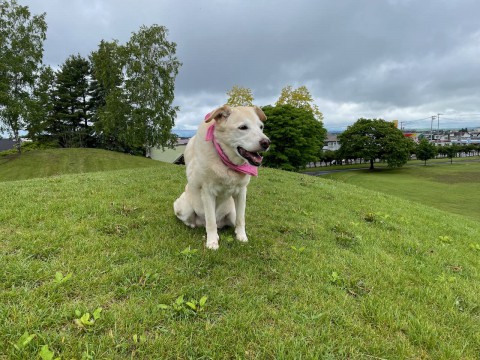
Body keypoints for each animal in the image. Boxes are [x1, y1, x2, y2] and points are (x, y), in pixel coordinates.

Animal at [172, 105, 270, 248]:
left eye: (261, 127)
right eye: (243, 127)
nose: (267, 142)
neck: (226, 163)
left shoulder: (242, 192)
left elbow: (241, 219)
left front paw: (242, 237)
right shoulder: (208, 192)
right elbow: (211, 221)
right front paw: (212, 241)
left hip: (231, 212)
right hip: (184, 208)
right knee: (197, 221)